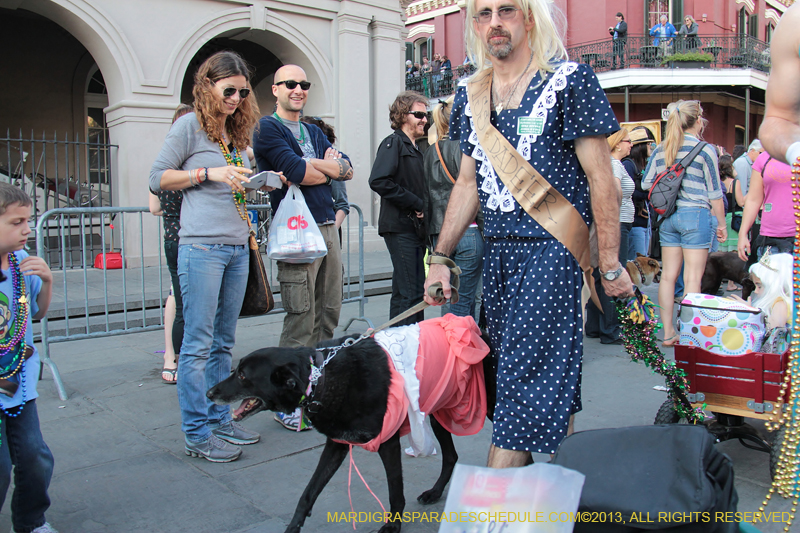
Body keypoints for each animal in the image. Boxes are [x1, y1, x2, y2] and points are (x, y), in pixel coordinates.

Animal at [208, 330, 494, 528]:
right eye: (237, 370)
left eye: (243, 375)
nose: (210, 393)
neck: (320, 376)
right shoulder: (336, 444)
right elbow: (308, 493)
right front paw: (293, 527)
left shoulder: (388, 442)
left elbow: (395, 492)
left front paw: (392, 528)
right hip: (437, 412)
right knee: (451, 456)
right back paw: (435, 493)